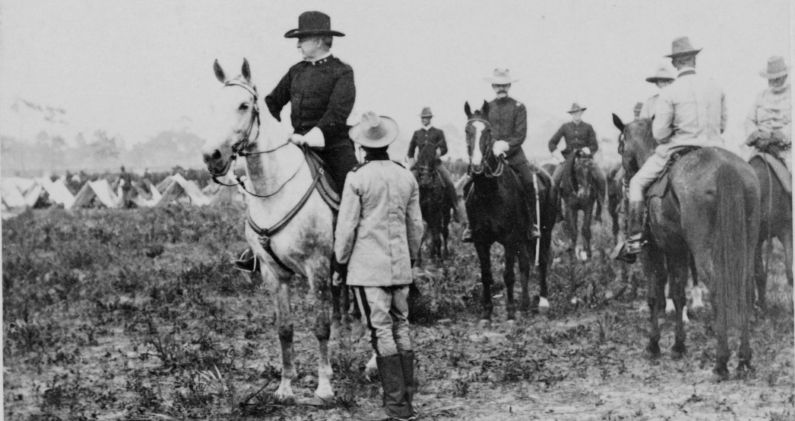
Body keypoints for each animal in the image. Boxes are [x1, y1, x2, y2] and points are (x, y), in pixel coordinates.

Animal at [201, 58, 338, 400]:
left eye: (244, 105)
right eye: (212, 106)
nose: (212, 156)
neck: (275, 191)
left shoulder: (317, 268)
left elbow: (321, 326)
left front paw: (324, 387)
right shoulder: (273, 273)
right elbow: (284, 329)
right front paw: (286, 387)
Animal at [464, 101, 556, 318]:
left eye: (488, 131)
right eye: (467, 131)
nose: (477, 167)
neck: (488, 194)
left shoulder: (509, 239)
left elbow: (508, 274)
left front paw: (511, 310)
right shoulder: (480, 241)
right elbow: (486, 274)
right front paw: (487, 310)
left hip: (544, 232)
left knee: (542, 261)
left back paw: (542, 301)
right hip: (522, 239)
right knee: (525, 265)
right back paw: (525, 303)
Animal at [612, 115, 760, 378]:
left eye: (621, 146)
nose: (624, 181)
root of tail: (726, 167)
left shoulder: (652, 251)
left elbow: (655, 295)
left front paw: (654, 345)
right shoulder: (676, 250)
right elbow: (678, 294)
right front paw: (678, 346)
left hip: (704, 252)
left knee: (717, 289)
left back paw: (721, 362)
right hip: (747, 245)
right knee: (745, 288)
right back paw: (744, 358)